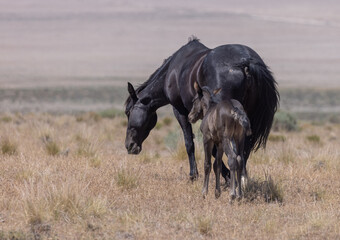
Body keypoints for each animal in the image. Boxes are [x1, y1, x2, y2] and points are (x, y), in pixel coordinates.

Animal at [125, 37, 278, 180]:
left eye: (128, 112)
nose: (129, 145)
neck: (173, 71)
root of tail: (246, 62)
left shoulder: (180, 111)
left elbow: (190, 143)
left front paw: (195, 175)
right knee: (244, 148)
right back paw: (242, 178)